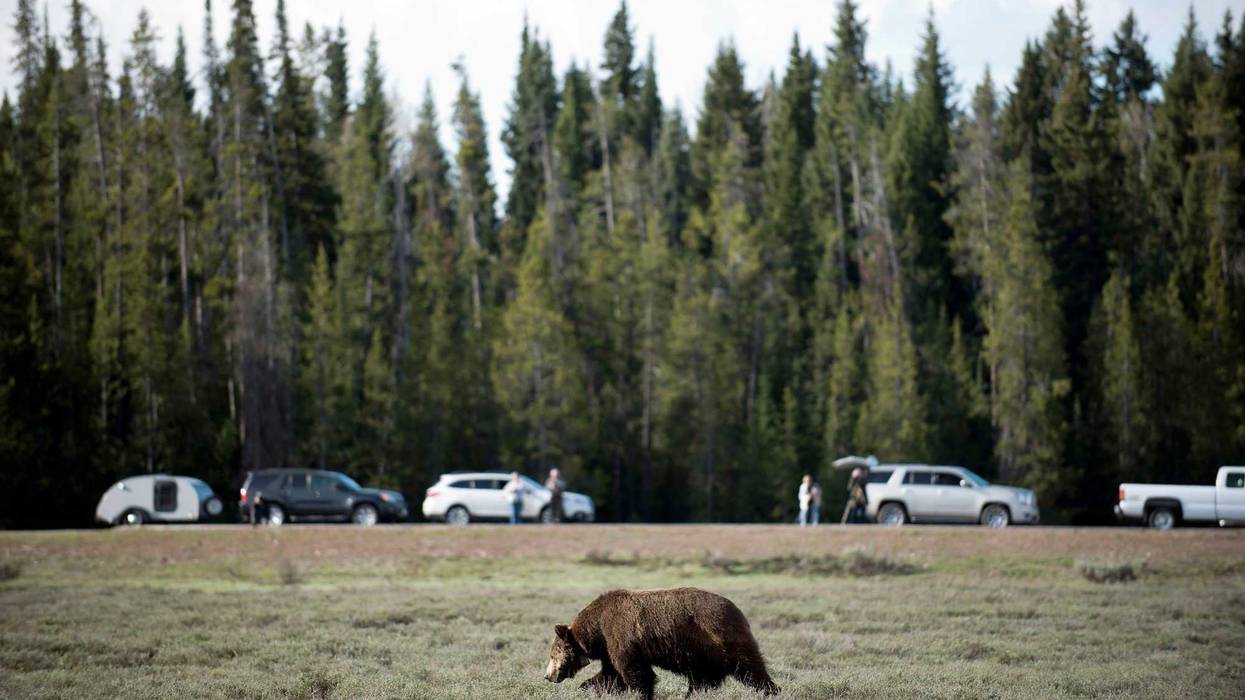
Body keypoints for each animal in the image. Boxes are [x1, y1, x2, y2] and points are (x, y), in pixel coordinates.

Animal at [544, 587, 780, 699]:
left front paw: (641, 694)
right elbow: (611, 675)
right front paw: (587, 686)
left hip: (719, 638)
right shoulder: (609, 649)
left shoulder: (621, 636)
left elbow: (636, 673)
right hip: (704, 655)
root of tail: (738, 611)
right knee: (703, 680)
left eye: (552, 655)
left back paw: (771, 690)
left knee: (750, 669)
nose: (547, 676)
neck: (597, 630)